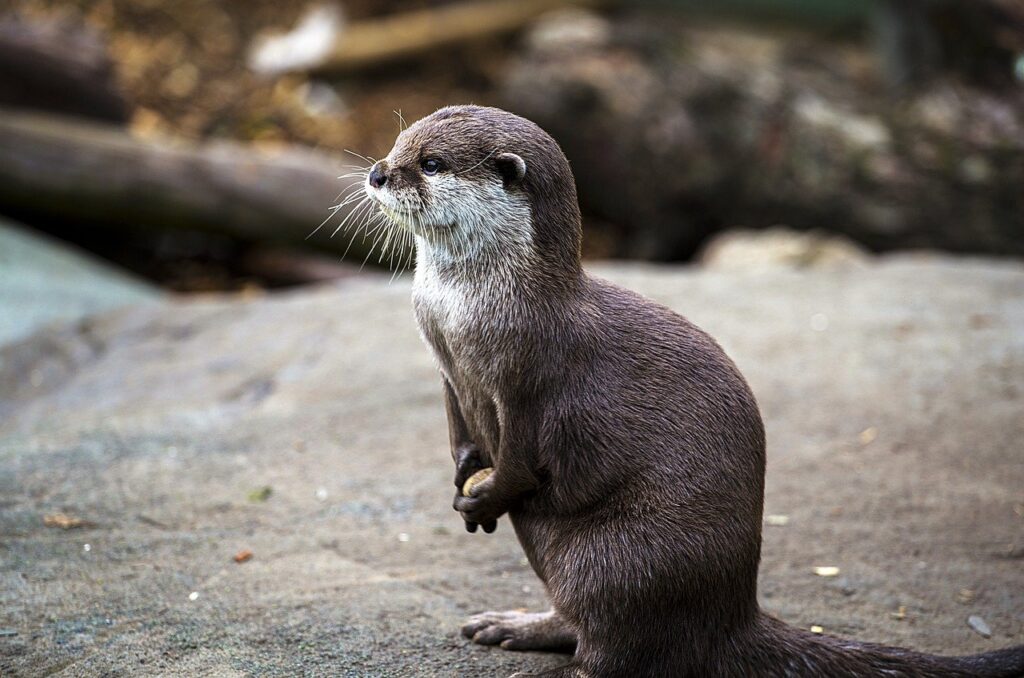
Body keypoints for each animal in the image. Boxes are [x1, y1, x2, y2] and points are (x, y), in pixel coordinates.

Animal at [363, 105, 1024, 677]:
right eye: (398, 143)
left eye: (430, 164)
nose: (378, 172)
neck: (465, 312)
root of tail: (734, 613)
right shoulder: (445, 366)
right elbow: (459, 430)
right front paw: (462, 478)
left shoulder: (530, 375)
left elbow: (522, 462)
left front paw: (485, 494)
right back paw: (512, 625)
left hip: (616, 559)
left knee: (617, 646)